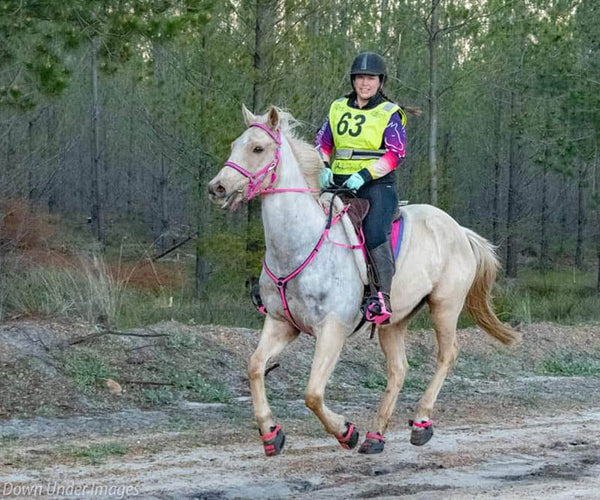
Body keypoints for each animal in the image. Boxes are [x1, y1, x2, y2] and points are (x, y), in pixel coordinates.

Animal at [207, 105, 520, 458]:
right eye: (235, 145)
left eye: (258, 148)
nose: (217, 187)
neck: (299, 245)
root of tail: (459, 230)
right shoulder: (280, 323)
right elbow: (255, 366)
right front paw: (271, 433)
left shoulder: (333, 328)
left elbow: (313, 393)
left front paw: (345, 431)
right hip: (394, 321)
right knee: (399, 369)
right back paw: (376, 436)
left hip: (445, 306)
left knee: (447, 355)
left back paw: (420, 423)